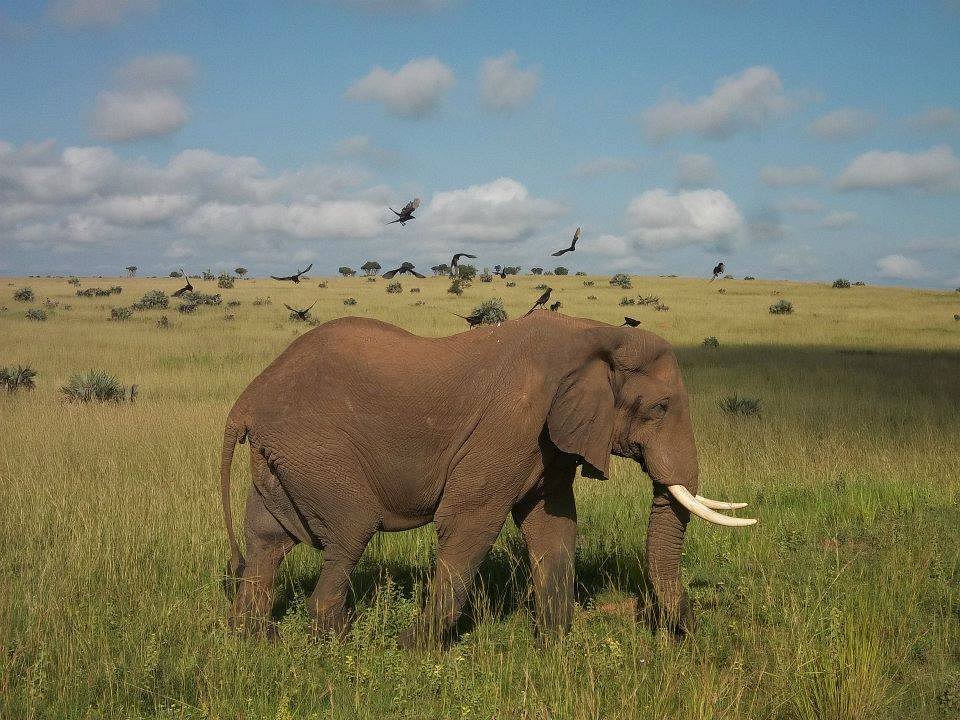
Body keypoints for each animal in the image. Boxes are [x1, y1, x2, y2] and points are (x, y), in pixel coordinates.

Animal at [220, 312, 755, 646]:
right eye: (659, 408)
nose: (688, 632)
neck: (597, 334)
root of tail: (245, 400)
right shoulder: (511, 421)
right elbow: (469, 522)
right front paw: (410, 648)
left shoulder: (549, 439)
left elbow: (553, 526)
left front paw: (554, 646)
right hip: (315, 449)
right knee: (351, 529)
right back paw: (336, 644)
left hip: (283, 458)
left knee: (267, 538)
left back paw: (257, 638)